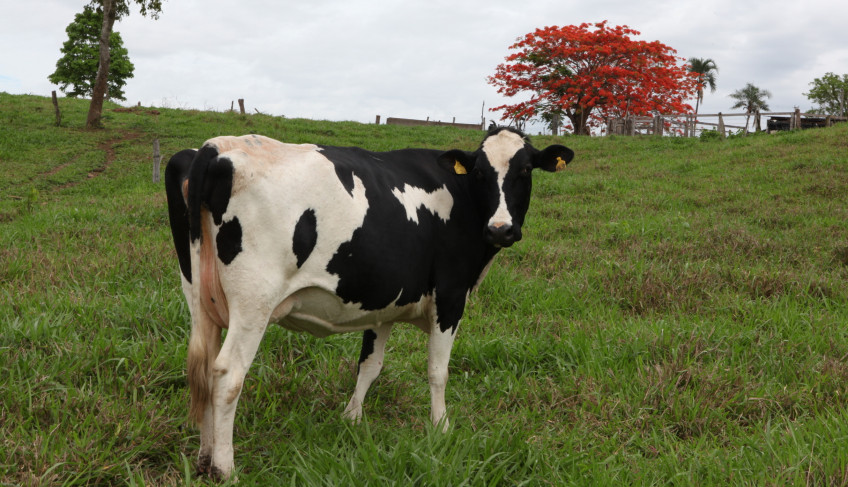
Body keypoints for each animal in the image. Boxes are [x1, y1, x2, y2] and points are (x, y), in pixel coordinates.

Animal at [164, 127, 576, 478]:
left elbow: (369, 366)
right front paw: (440, 428)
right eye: (479, 173)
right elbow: (437, 370)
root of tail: (216, 147)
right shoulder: (450, 296)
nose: (501, 229)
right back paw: (225, 467)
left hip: (199, 298)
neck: (461, 200)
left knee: (203, 369)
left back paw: (204, 457)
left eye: (525, 170)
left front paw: (352, 418)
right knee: (227, 375)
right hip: (254, 303)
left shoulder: (384, 304)